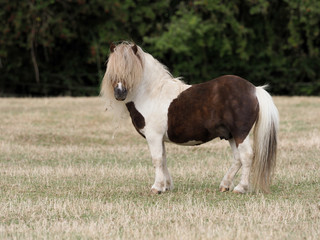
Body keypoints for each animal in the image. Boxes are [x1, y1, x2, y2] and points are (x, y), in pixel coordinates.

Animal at [100, 42, 278, 194]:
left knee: (247, 156)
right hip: (231, 136)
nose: (119, 93)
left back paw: (240, 188)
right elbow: (163, 159)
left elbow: (157, 160)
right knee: (238, 159)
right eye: (113, 71)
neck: (151, 94)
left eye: (131, 71)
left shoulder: (153, 137)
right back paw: (225, 185)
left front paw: (157, 187)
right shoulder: (159, 138)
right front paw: (166, 186)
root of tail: (254, 89)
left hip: (240, 133)